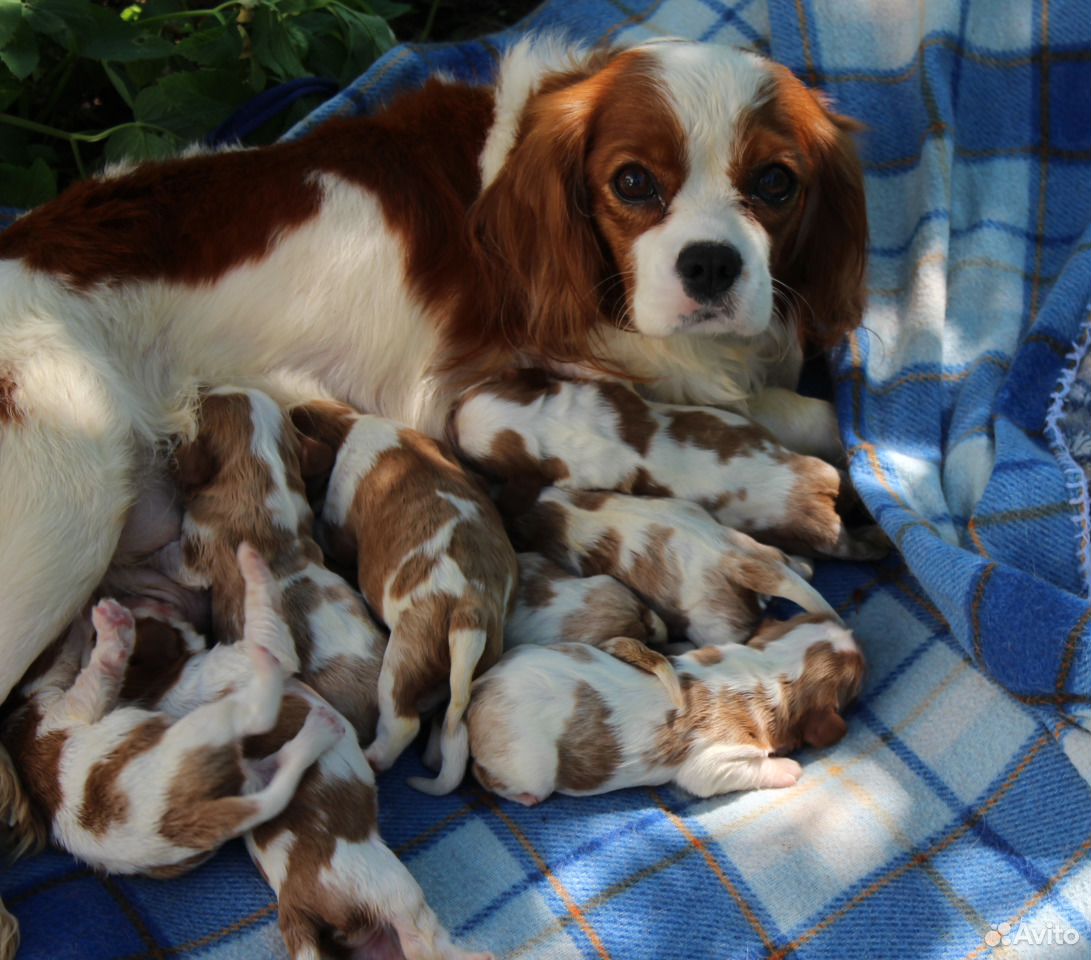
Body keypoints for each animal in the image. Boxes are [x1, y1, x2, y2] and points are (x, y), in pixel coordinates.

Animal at [312, 412, 519, 794]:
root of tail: (470, 610)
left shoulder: (338, 523)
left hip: (402, 660)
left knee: (403, 722)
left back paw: (372, 757)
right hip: (469, 671)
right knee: (450, 726)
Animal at [451, 368, 885, 562]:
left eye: (471, 457)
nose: (450, 417)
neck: (546, 421)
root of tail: (815, 491)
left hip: (822, 536)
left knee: (850, 547)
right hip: (825, 471)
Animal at [469, 610, 859, 807]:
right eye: (856, 679)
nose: (852, 632)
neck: (766, 670)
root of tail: (482, 686)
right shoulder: (712, 762)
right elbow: (743, 769)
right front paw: (788, 768)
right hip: (526, 768)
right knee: (485, 776)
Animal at [508, 486, 833, 645]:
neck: (552, 510)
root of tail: (737, 560)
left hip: (710, 625)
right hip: (759, 550)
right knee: (795, 565)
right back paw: (803, 562)